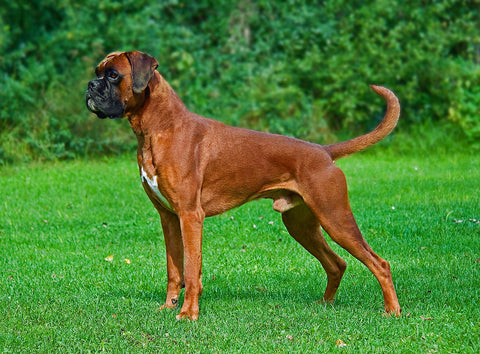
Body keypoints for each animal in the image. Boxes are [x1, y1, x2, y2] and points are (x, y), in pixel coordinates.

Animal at [85, 51, 402, 320]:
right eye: (98, 72)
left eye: (113, 75)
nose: (90, 85)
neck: (158, 128)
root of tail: (323, 151)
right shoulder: (169, 218)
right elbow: (174, 269)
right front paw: (169, 306)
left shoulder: (190, 216)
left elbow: (192, 268)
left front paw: (188, 314)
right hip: (301, 225)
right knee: (337, 263)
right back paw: (325, 304)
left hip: (335, 218)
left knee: (380, 263)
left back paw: (392, 311)